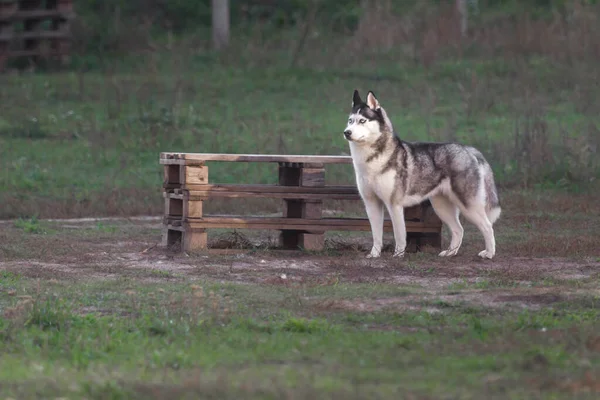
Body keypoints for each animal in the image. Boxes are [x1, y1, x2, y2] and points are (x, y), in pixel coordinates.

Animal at [342, 90, 502, 260]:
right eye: (350, 121)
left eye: (362, 121)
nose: (346, 132)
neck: (371, 160)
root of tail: (469, 149)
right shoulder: (371, 203)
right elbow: (376, 234)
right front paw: (374, 254)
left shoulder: (394, 204)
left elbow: (399, 234)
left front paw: (398, 255)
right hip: (441, 206)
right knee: (459, 229)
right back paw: (450, 252)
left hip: (469, 206)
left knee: (487, 226)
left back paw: (489, 253)